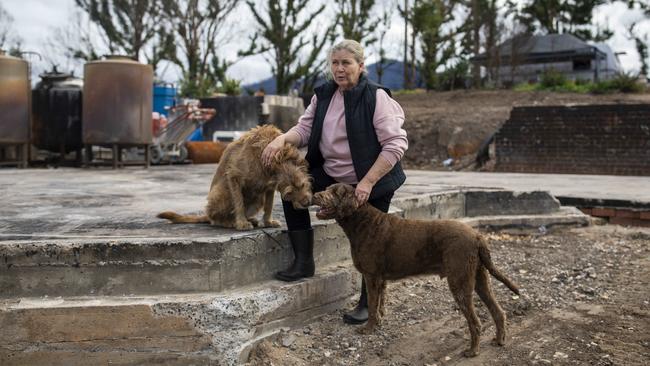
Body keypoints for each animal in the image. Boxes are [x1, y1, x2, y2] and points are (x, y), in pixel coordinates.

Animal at [157, 124, 308, 230]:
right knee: (215, 219)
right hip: (221, 193)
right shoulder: (234, 177)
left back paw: (251, 219)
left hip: (258, 198)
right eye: (289, 192)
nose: (306, 203)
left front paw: (268, 222)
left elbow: (269, 205)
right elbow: (239, 203)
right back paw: (229, 222)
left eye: (303, 185)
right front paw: (241, 223)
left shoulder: (270, 186)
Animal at [312, 183, 520, 358]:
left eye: (334, 192)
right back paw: (499, 340)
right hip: (479, 277)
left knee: (475, 322)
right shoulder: (381, 278)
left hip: (459, 281)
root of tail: (477, 236)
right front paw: (378, 322)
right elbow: (380, 303)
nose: (314, 195)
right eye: (327, 189)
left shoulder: (371, 275)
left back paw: (472, 351)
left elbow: (371, 304)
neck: (362, 221)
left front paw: (368, 328)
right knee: (498, 311)